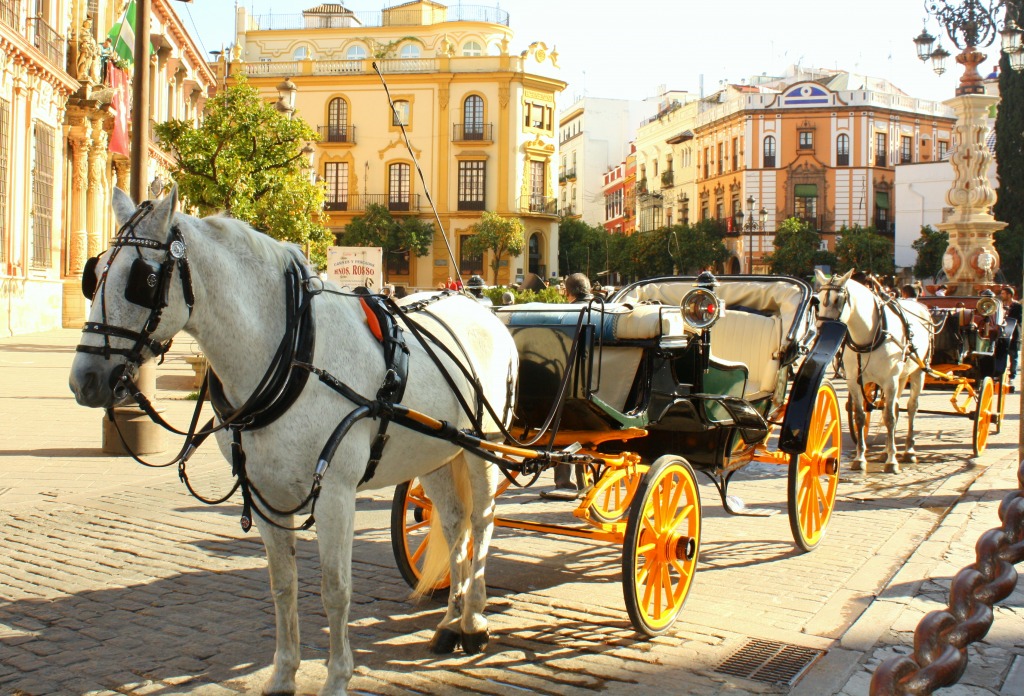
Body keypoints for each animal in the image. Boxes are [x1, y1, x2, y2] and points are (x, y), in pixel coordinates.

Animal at [70, 186, 520, 696]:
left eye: (143, 280)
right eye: (93, 275)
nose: (85, 381)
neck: (294, 354)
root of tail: (482, 308)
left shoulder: (336, 495)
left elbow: (335, 589)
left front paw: (337, 677)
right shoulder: (264, 493)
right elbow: (283, 585)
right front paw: (284, 673)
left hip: (483, 446)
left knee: (482, 522)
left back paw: (474, 621)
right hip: (437, 452)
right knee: (454, 523)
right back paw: (449, 622)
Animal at [819, 268, 933, 472]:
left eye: (837, 300)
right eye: (817, 299)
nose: (819, 330)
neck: (869, 335)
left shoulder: (889, 380)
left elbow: (889, 418)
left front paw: (892, 461)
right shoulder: (854, 381)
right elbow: (860, 416)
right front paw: (860, 458)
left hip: (917, 371)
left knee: (911, 407)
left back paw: (908, 451)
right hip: (901, 377)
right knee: (895, 406)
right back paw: (886, 450)